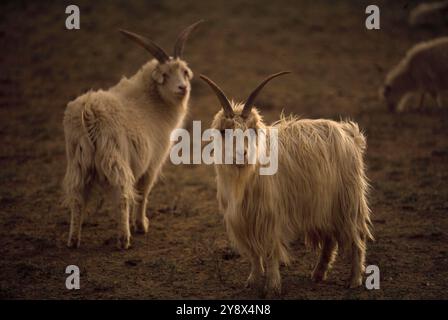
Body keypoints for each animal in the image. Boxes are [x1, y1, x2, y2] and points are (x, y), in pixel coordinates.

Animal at [62, 20, 202, 250]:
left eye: (184, 71)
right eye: (165, 74)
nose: (183, 87)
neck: (152, 100)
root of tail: (89, 111)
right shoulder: (153, 162)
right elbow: (143, 192)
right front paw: (141, 225)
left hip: (77, 159)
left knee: (76, 197)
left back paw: (74, 240)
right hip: (114, 156)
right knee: (122, 195)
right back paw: (124, 238)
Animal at [201, 72, 372, 296]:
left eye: (252, 130)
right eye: (224, 131)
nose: (241, 154)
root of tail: (349, 133)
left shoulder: (271, 216)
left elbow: (271, 252)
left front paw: (273, 285)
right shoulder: (243, 220)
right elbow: (254, 254)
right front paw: (252, 281)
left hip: (347, 201)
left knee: (356, 239)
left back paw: (354, 280)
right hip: (323, 205)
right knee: (329, 240)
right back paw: (318, 274)